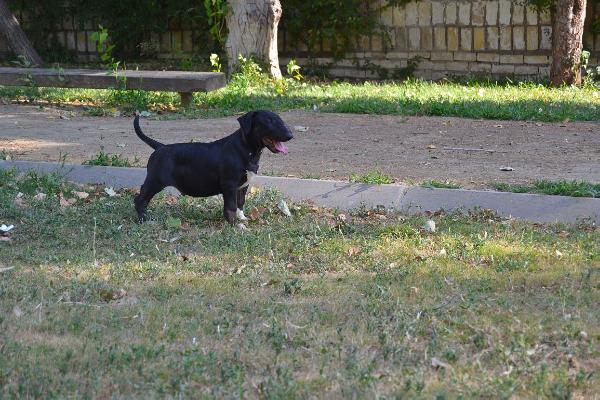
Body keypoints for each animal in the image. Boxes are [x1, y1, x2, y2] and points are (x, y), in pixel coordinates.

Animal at [132, 109, 292, 227]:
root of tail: (160, 147)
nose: (290, 135)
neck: (247, 149)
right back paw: (143, 220)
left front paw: (242, 218)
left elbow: (240, 203)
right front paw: (235, 225)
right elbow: (231, 206)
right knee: (140, 199)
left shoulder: (243, 186)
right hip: (155, 181)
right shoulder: (229, 185)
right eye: (268, 121)